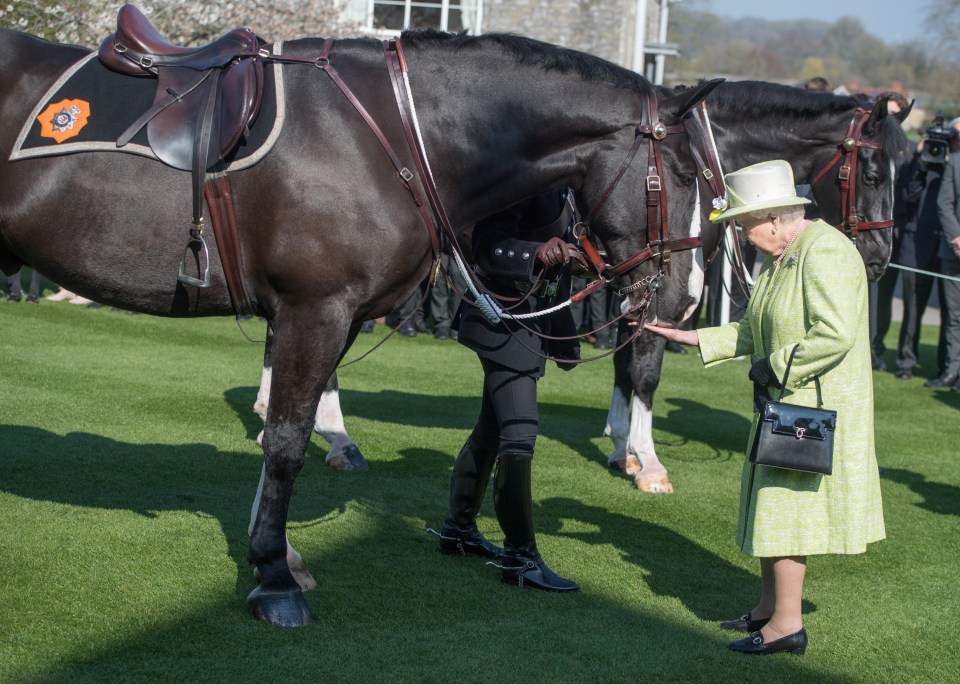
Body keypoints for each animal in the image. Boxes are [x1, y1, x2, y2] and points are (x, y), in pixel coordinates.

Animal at [1, 24, 720, 624]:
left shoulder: (335, 317)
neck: (392, 134)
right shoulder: (314, 309)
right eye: (686, 172)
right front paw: (273, 578)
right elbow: (287, 441)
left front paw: (277, 553)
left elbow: (289, 428)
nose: (687, 300)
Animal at [604, 80, 912, 488]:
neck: (708, 156)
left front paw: (622, 447)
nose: (879, 259)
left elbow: (624, 359)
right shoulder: (660, 285)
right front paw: (647, 461)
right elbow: (644, 365)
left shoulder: (632, 282)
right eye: (872, 176)